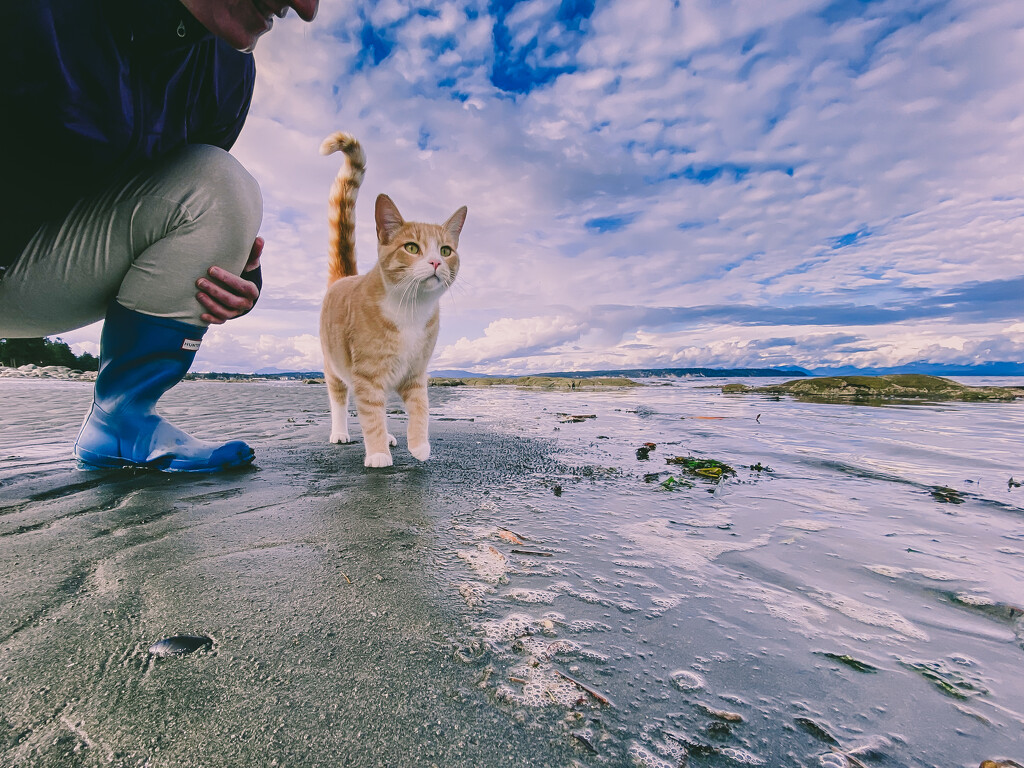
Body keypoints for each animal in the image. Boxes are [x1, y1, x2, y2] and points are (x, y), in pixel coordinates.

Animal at [315, 133, 468, 468]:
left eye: (446, 250)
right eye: (411, 248)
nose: (436, 262)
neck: (411, 309)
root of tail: (346, 277)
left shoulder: (416, 372)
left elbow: (420, 410)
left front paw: (419, 445)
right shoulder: (367, 376)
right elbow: (370, 416)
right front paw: (377, 454)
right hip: (335, 366)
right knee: (341, 401)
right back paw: (342, 432)